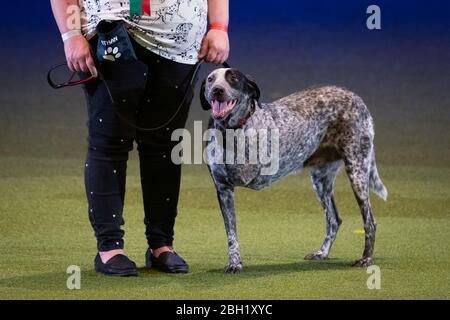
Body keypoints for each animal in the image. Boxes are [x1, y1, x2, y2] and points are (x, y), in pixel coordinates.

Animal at [200, 67, 386, 272]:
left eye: (233, 78)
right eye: (210, 79)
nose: (217, 90)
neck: (232, 130)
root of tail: (355, 96)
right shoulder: (224, 189)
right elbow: (231, 233)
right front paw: (235, 262)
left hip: (357, 172)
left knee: (370, 222)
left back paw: (366, 259)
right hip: (321, 182)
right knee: (333, 219)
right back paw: (322, 253)